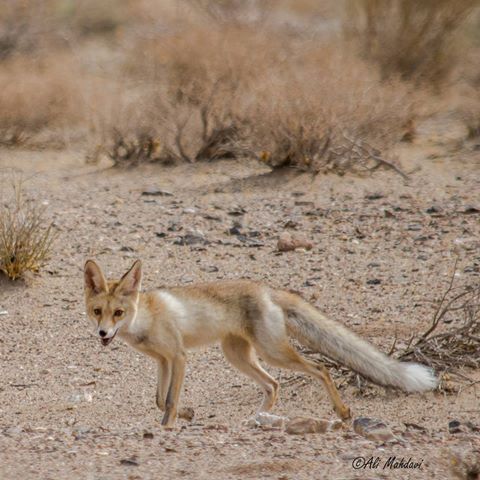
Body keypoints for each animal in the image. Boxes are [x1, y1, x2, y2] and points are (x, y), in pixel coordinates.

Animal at [84, 258, 436, 428]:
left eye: (119, 313)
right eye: (98, 311)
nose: (103, 334)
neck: (145, 319)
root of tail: (268, 289)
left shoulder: (179, 357)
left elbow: (168, 401)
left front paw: (169, 426)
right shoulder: (163, 360)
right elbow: (160, 399)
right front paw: (186, 414)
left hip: (273, 352)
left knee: (319, 369)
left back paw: (342, 411)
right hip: (238, 357)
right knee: (273, 385)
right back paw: (257, 419)